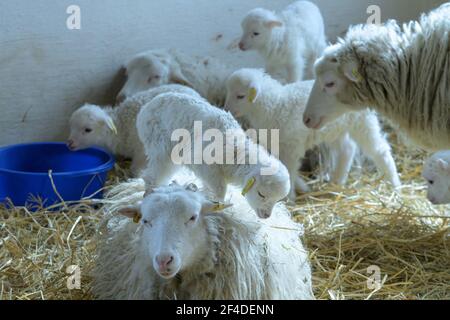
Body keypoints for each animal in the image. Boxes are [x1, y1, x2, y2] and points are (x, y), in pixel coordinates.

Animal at [67, 84, 200, 176]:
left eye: (88, 130)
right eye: (71, 126)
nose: (69, 143)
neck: (121, 126)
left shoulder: (141, 151)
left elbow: (136, 169)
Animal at [135, 91, 290, 219]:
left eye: (277, 199)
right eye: (261, 194)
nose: (266, 216)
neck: (236, 152)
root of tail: (146, 107)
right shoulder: (204, 163)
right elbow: (220, 188)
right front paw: (218, 204)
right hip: (160, 144)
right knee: (153, 174)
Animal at [225, 68, 400, 198]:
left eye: (240, 96)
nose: (226, 109)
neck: (276, 105)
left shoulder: (291, 145)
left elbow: (289, 169)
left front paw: (290, 197)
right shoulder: (277, 143)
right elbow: (282, 168)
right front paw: (301, 187)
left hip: (362, 122)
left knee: (380, 150)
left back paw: (395, 184)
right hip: (335, 129)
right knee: (347, 149)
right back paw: (337, 182)